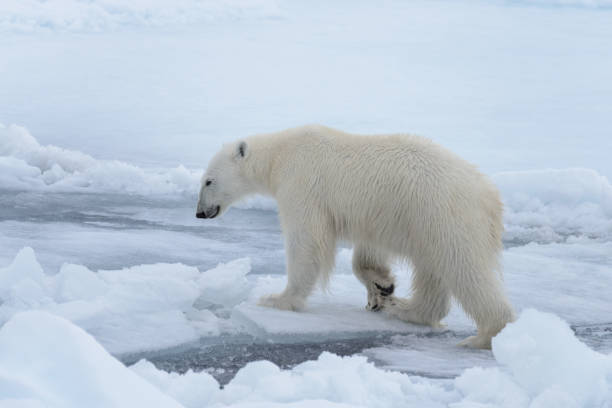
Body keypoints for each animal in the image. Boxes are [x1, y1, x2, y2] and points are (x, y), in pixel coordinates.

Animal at [198, 124, 512, 348]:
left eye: (208, 181)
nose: (200, 212)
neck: (280, 155)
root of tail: (490, 196)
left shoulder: (302, 184)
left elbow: (306, 241)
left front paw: (278, 299)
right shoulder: (376, 215)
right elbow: (368, 253)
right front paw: (380, 289)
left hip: (445, 214)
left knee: (464, 267)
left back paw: (484, 335)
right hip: (427, 222)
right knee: (432, 271)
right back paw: (406, 309)